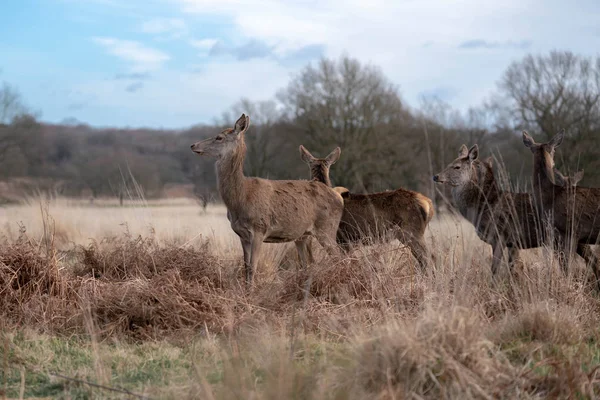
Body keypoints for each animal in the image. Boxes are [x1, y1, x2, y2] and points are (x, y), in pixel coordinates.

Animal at [190, 113, 344, 284]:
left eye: (219, 137)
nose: (193, 145)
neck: (241, 198)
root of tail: (337, 196)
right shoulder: (242, 235)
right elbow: (246, 268)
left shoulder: (259, 229)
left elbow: (253, 267)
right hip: (304, 235)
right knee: (310, 263)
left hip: (327, 227)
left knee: (339, 257)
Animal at [434, 143, 584, 276]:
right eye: (449, 164)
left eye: (457, 167)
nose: (436, 176)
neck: (483, 207)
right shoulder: (513, 243)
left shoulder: (500, 236)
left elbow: (495, 270)